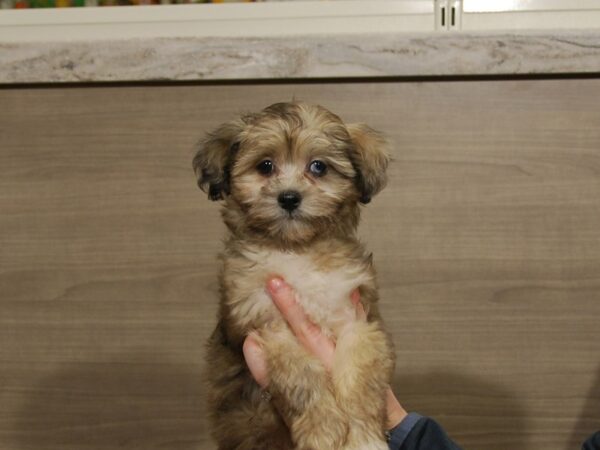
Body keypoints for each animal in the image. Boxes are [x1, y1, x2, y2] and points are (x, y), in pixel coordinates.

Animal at [193, 102, 394, 450]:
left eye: (318, 167)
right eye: (265, 166)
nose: (288, 198)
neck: (297, 250)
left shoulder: (356, 320)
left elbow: (359, 380)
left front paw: (364, 437)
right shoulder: (270, 328)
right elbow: (303, 377)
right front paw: (323, 428)